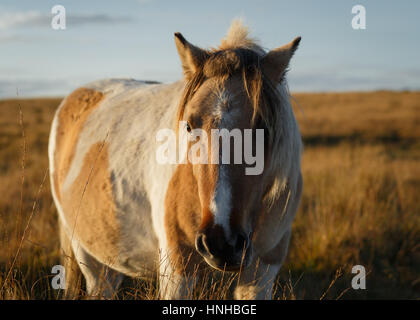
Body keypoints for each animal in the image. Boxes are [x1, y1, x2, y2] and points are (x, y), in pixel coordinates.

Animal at [50, 20, 302, 300]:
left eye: (264, 128)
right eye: (190, 125)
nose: (221, 243)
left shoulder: (262, 272)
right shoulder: (177, 268)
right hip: (87, 253)